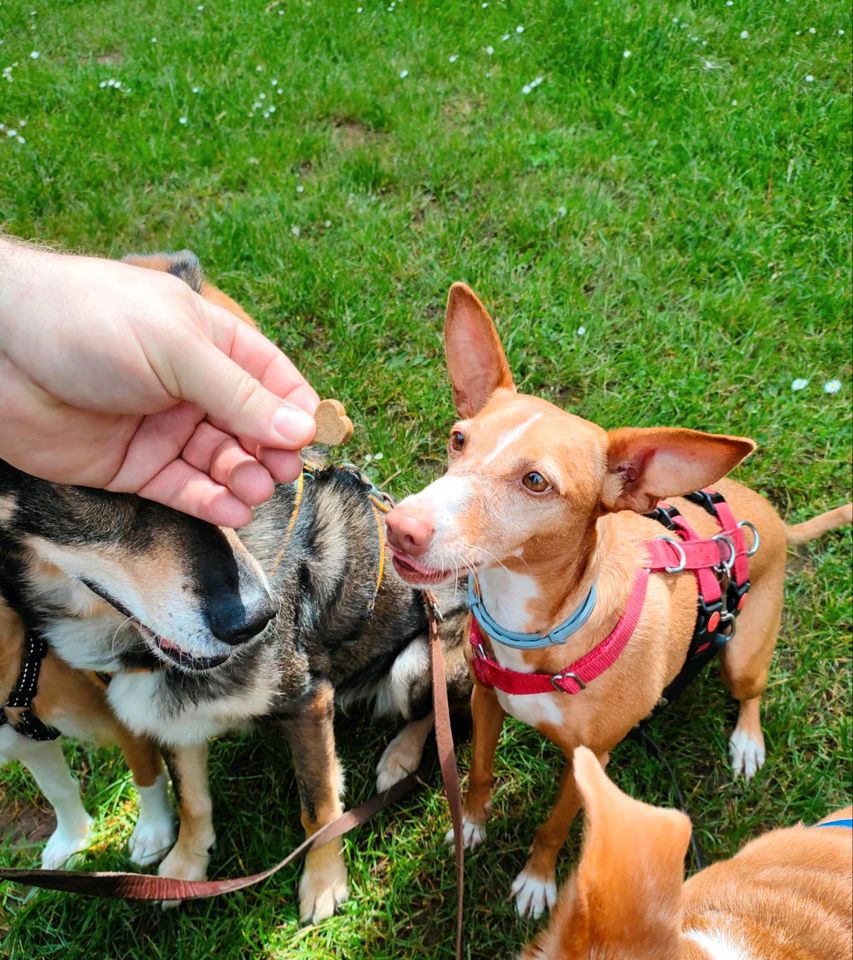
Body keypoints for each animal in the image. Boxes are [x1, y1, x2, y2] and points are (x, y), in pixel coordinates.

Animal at [382, 286, 848, 924]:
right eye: (458, 439)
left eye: (535, 482)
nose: (400, 528)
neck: (539, 629)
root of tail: (767, 518)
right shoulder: (484, 702)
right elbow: (477, 774)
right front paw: (470, 826)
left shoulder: (590, 762)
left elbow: (554, 828)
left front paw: (537, 881)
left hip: (743, 656)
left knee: (751, 692)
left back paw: (747, 742)